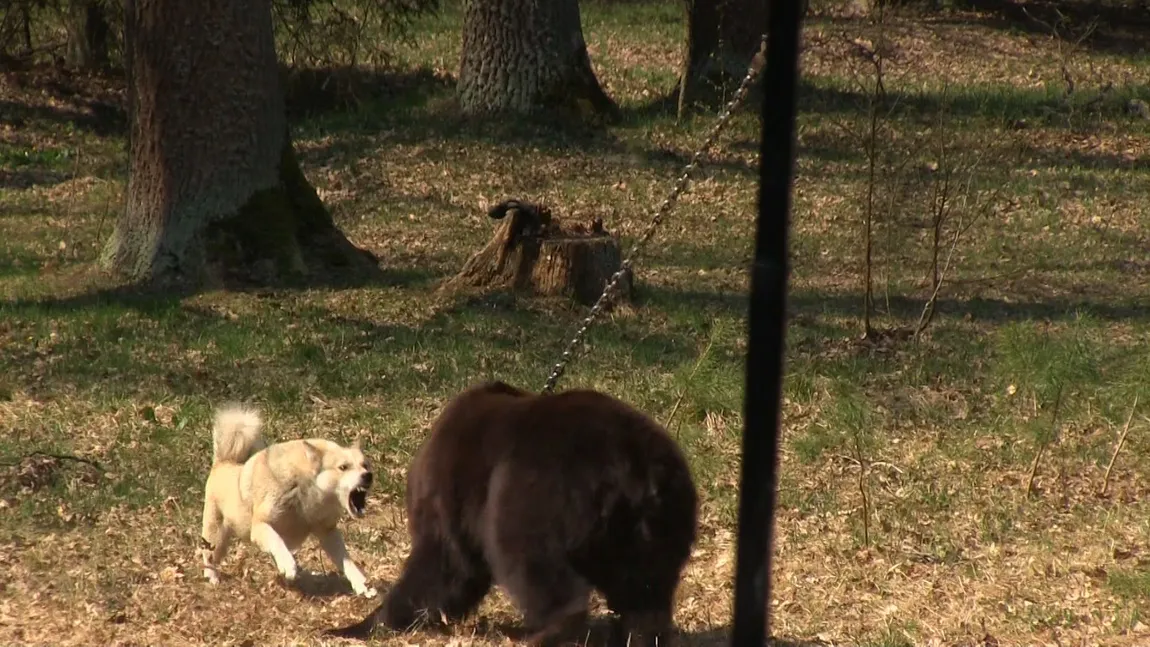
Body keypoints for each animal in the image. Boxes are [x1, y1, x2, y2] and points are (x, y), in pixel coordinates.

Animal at [197, 404, 377, 597]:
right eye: (343, 467)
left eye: (365, 465)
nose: (368, 476)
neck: (305, 489)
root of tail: (222, 463)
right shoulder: (260, 527)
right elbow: (277, 542)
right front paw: (288, 566)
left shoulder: (328, 533)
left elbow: (348, 563)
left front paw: (363, 586)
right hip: (216, 537)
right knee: (208, 557)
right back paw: (212, 577)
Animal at [328, 381, 694, 647]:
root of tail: (632, 463)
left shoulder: (453, 496)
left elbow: (445, 563)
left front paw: (360, 625)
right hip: (660, 521)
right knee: (647, 593)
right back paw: (641, 635)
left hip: (540, 494)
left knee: (530, 560)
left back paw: (546, 633)